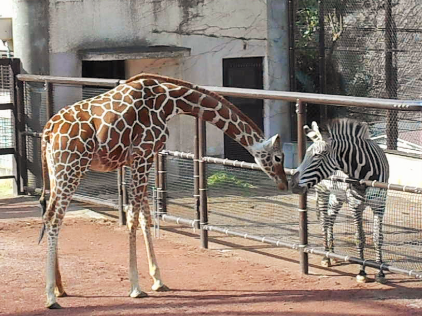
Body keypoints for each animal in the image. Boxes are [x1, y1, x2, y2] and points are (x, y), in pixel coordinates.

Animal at [39, 72, 288, 308]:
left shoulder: (137, 160)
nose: (283, 184)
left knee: (49, 215)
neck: (170, 101)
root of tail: (48, 131)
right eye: (278, 157)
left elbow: (145, 218)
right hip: (72, 168)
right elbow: (133, 217)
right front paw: (136, 288)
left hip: (56, 171)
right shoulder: (143, 154)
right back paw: (51, 297)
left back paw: (60, 288)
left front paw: (158, 281)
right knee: (54, 218)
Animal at [292, 119, 390, 284]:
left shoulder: (380, 204)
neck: (366, 173)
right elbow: (359, 238)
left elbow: (378, 237)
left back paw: (332, 252)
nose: (292, 184)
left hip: (338, 196)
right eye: (306, 155)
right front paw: (362, 272)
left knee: (331, 218)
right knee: (325, 221)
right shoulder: (355, 205)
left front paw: (381, 272)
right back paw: (326, 256)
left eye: (317, 156)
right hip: (323, 191)